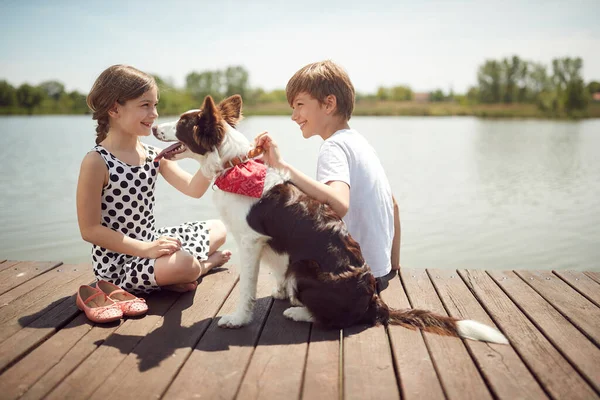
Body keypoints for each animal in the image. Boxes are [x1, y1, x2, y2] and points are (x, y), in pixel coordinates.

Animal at [152, 94, 508, 344]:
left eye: (181, 124)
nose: (154, 126)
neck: (234, 166)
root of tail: (375, 302)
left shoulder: (251, 241)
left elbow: (247, 287)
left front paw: (238, 319)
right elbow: (272, 274)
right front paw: (278, 291)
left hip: (304, 268)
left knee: (334, 320)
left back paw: (299, 311)